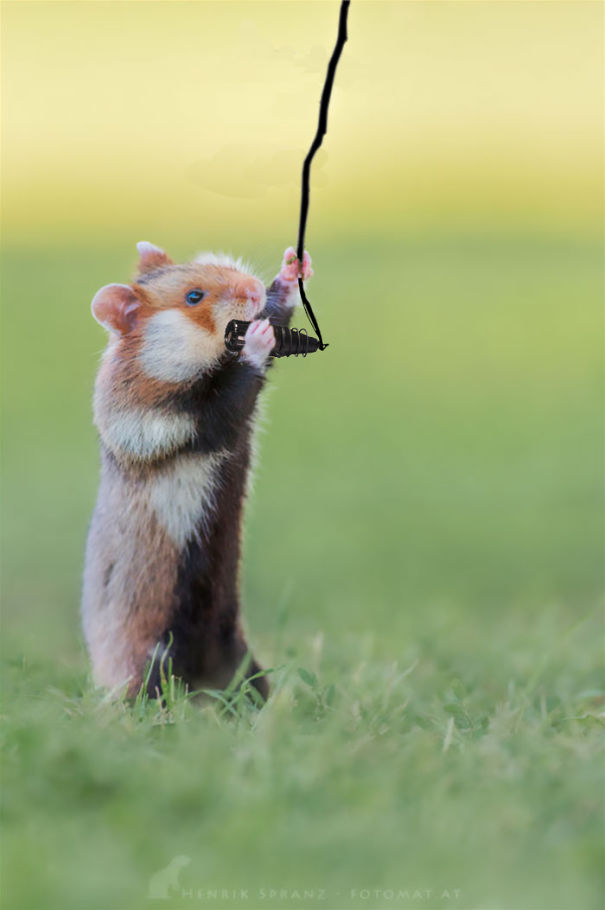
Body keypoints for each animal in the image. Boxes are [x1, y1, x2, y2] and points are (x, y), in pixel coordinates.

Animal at [82, 241, 313, 700]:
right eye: (193, 297)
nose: (251, 288)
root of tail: (200, 681)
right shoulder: (181, 422)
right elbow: (236, 389)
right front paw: (255, 339)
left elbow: (277, 317)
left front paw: (293, 268)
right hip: (150, 657)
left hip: (237, 653)